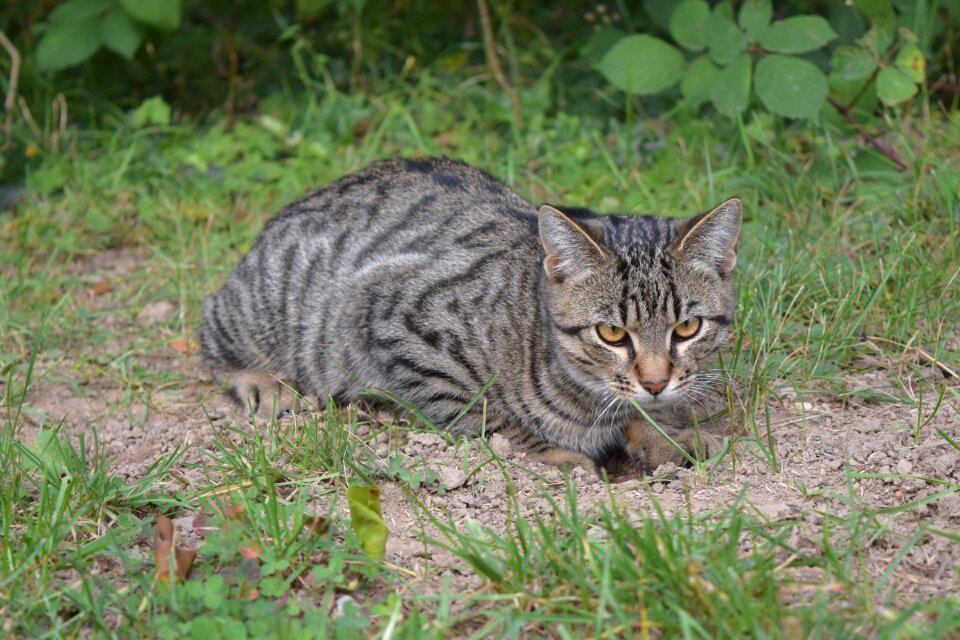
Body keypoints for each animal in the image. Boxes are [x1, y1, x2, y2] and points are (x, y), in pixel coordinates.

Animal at [201, 158, 744, 472]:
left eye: (687, 327)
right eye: (611, 333)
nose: (655, 382)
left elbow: (639, 418)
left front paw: (665, 437)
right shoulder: (389, 313)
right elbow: (488, 416)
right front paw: (554, 452)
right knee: (212, 331)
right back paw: (263, 382)